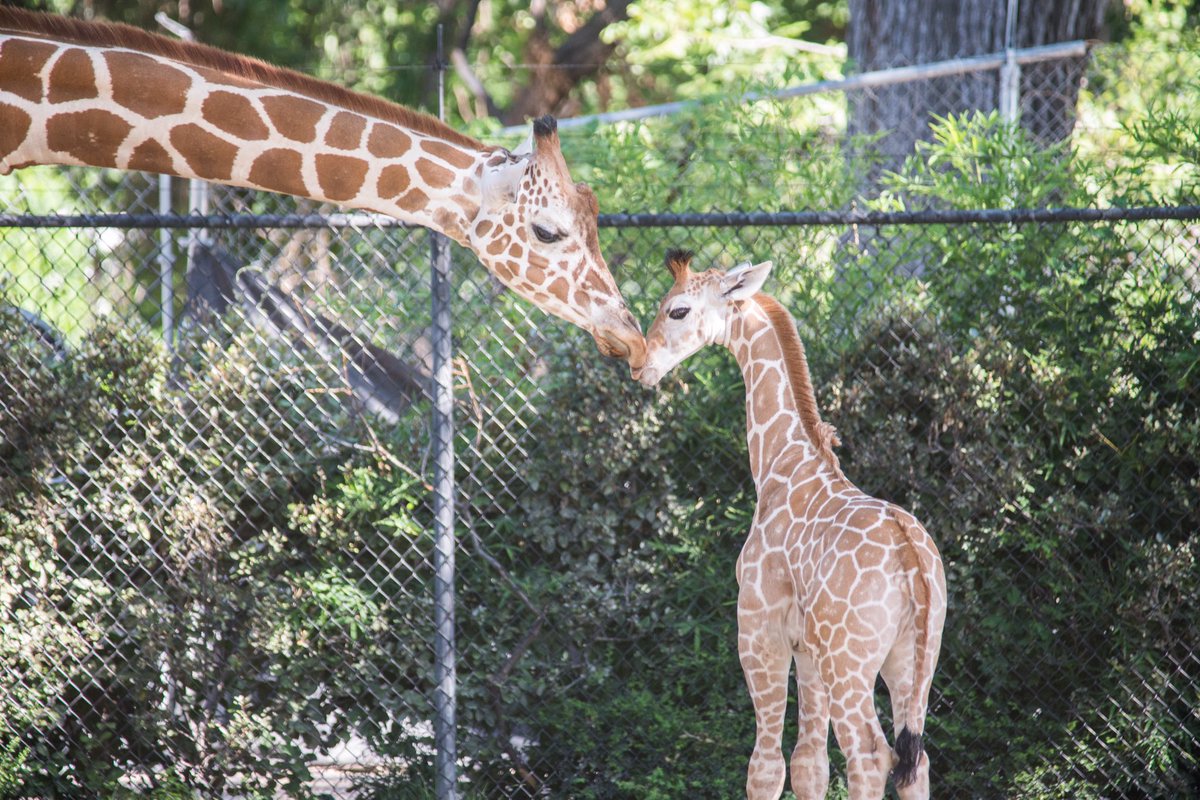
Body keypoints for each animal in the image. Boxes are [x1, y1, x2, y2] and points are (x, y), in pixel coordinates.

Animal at [634, 250, 947, 800]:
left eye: (677, 310)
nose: (641, 366)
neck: (781, 462)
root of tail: (912, 559)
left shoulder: (760, 632)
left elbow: (766, 765)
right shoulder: (808, 649)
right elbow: (809, 764)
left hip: (850, 663)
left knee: (870, 754)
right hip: (914, 662)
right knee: (915, 759)